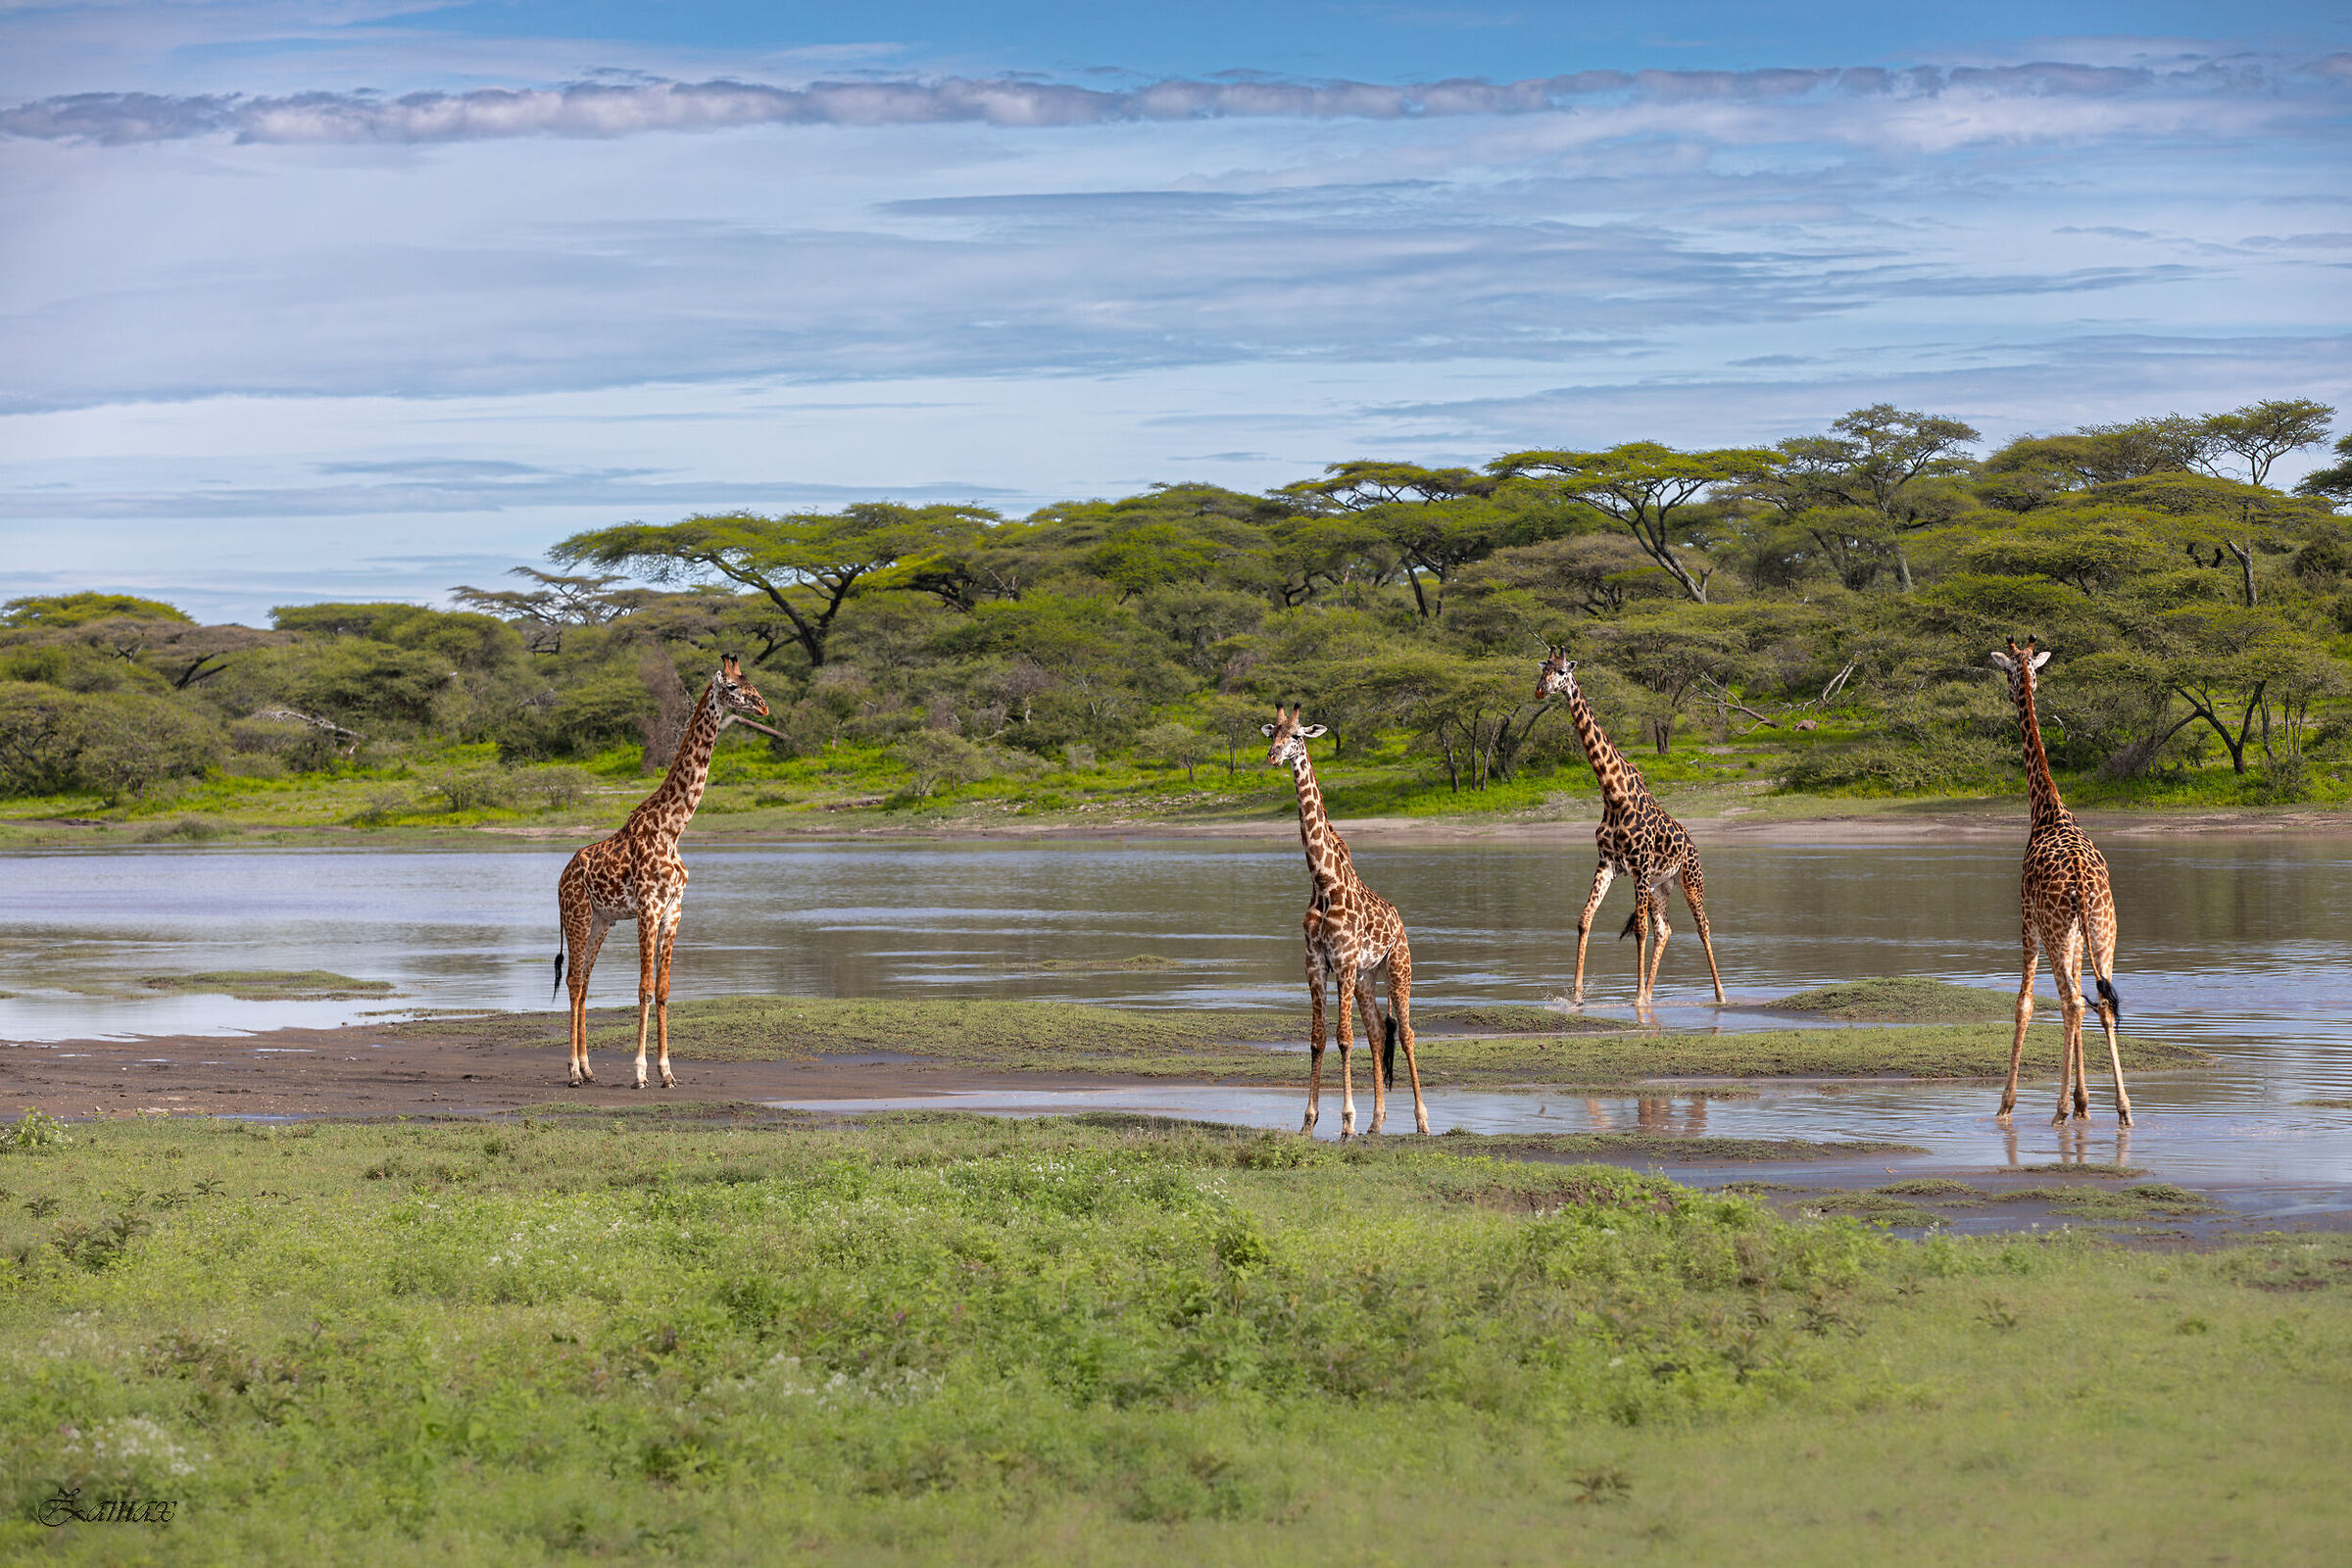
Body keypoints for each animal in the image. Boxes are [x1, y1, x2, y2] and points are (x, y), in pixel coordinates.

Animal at [552, 655, 771, 1090]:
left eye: (751, 682)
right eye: (733, 687)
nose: (764, 707)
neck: (674, 827)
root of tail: (561, 878)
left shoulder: (673, 910)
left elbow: (665, 989)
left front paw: (667, 1071)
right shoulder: (648, 909)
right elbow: (643, 989)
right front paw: (639, 1072)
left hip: (601, 921)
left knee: (584, 983)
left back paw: (587, 1068)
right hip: (578, 915)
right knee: (573, 982)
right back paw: (572, 1072)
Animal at [1263, 705, 1429, 1137]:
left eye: (1297, 736)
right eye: (1273, 733)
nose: (1273, 756)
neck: (1324, 881)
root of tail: (1399, 920)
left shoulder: (1344, 961)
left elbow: (1343, 1038)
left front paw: (1346, 1122)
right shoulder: (1316, 963)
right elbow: (1319, 1038)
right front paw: (1309, 1122)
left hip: (1398, 966)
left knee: (1406, 1033)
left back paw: (1421, 1121)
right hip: (1367, 976)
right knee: (1377, 1033)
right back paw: (1377, 1121)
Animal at [1534, 648, 1725, 1009]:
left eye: (1563, 671)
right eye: (1543, 670)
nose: (1540, 691)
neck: (1613, 794)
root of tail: (1693, 845)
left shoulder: (1639, 865)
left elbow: (1639, 930)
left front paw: (1634, 999)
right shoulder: (1608, 863)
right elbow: (1584, 920)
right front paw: (1577, 996)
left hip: (1690, 881)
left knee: (1703, 926)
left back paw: (1719, 995)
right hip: (1660, 887)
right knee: (1665, 929)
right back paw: (1649, 994)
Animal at [1990, 636, 2133, 1126]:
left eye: (2011, 671)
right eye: (2024, 671)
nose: (2018, 687)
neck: (2046, 810)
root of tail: (2086, 888)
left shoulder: (2027, 921)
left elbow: (2025, 1004)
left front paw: (2007, 1103)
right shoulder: (2076, 937)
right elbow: (2082, 1002)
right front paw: (2083, 1101)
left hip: (2055, 931)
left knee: (2070, 1001)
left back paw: (2056, 1111)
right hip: (2105, 932)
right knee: (2101, 1001)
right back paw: (2122, 1110)